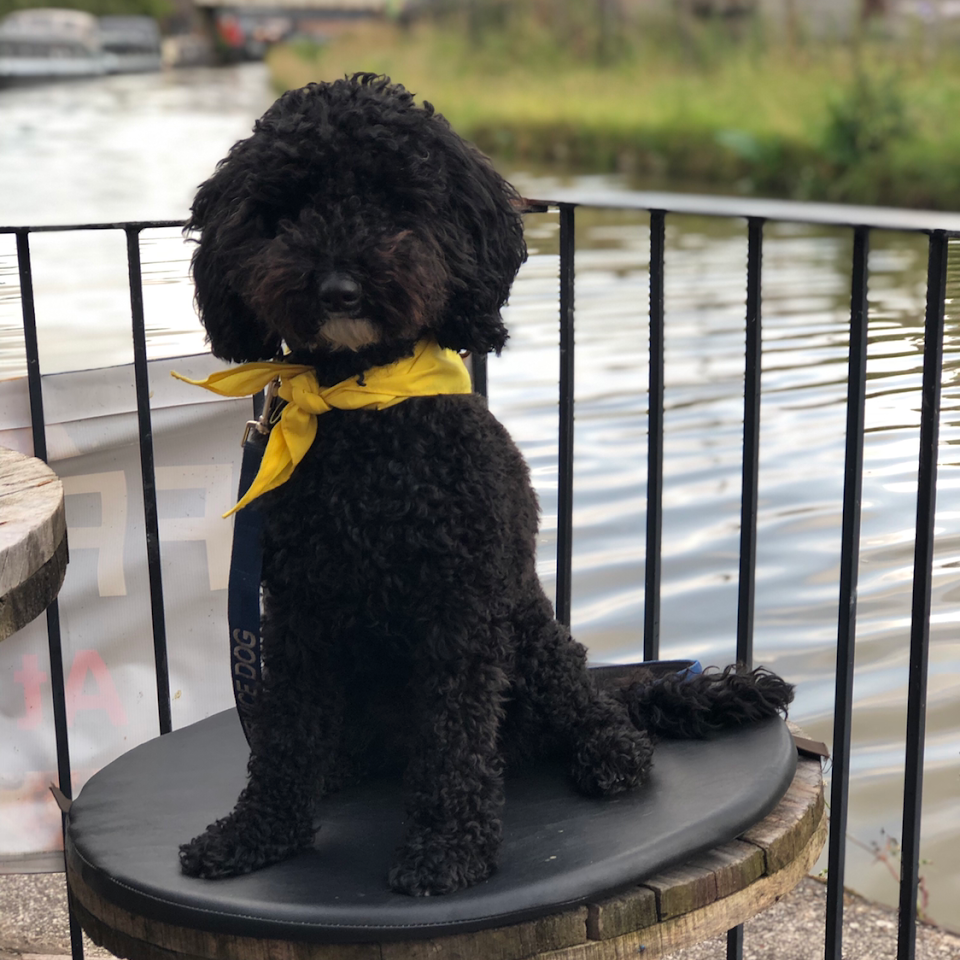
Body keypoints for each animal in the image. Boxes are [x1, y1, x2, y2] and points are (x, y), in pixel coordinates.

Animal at [180, 71, 796, 896]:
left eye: (396, 202)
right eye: (285, 211)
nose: (338, 287)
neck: (367, 414)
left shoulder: (460, 612)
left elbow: (454, 739)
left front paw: (447, 848)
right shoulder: (299, 614)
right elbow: (283, 738)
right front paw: (257, 833)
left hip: (533, 636)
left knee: (588, 707)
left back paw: (609, 751)